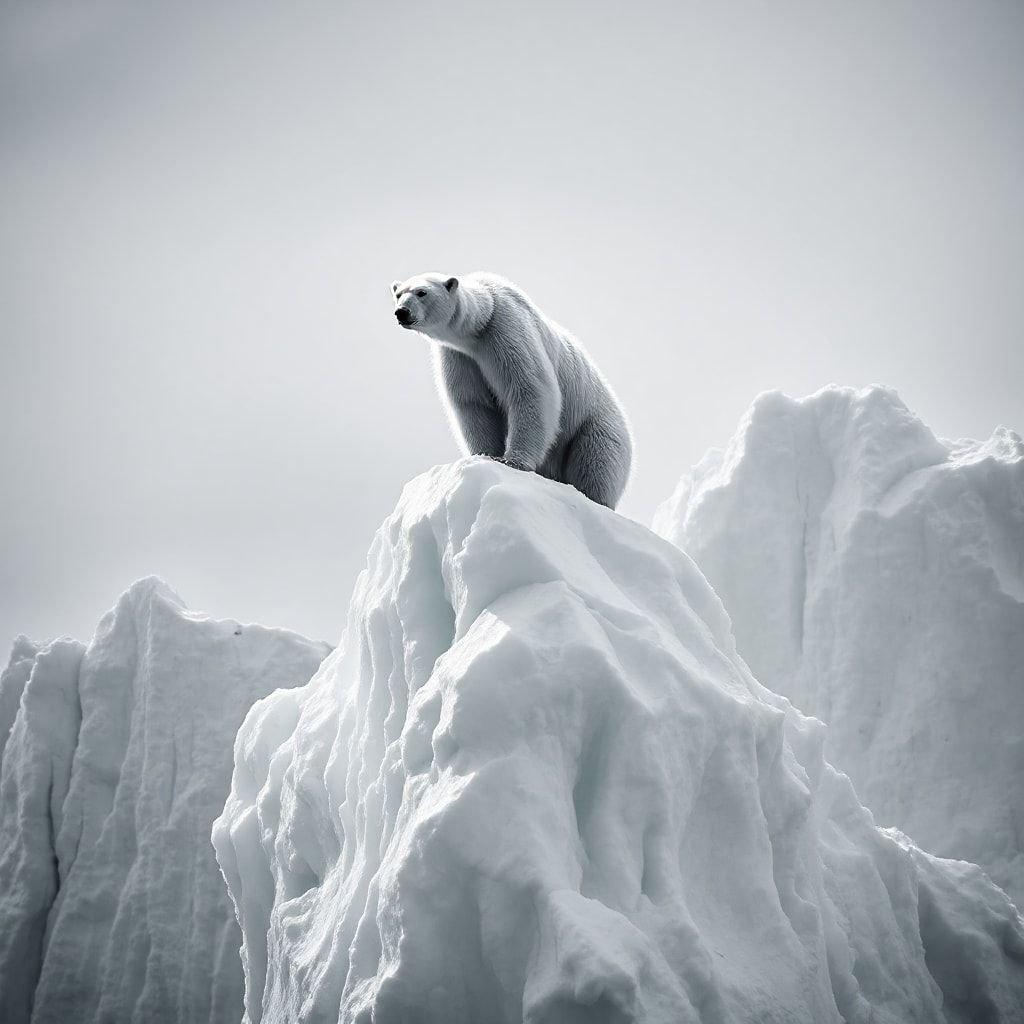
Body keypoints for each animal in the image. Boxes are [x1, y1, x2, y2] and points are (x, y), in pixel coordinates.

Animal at [391, 272, 630, 507]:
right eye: (398, 294)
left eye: (422, 292)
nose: (401, 312)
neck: (480, 322)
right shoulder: (460, 356)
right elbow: (473, 404)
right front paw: (484, 455)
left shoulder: (506, 329)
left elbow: (530, 389)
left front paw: (512, 462)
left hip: (596, 425)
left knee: (596, 462)